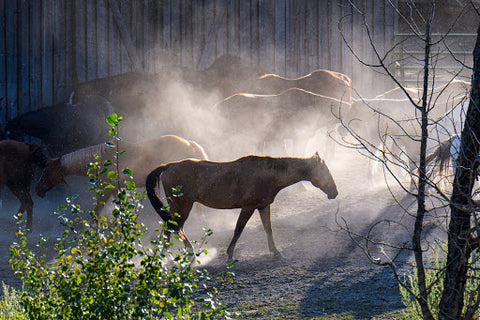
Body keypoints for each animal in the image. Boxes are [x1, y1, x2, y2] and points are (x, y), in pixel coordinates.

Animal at [36, 134, 209, 214]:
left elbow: (97, 212)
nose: (38, 190)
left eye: (47, 171)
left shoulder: (106, 190)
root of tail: (189, 143)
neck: (103, 159)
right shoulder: (115, 189)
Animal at [146, 151, 338, 262]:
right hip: (183, 205)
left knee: (171, 228)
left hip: (176, 206)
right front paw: (230, 254)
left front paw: (276, 252)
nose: (334, 193)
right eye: (325, 171)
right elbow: (238, 229)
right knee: (174, 227)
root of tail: (169, 166)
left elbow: (268, 229)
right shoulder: (248, 207)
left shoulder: (263, 206)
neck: (268, 173)